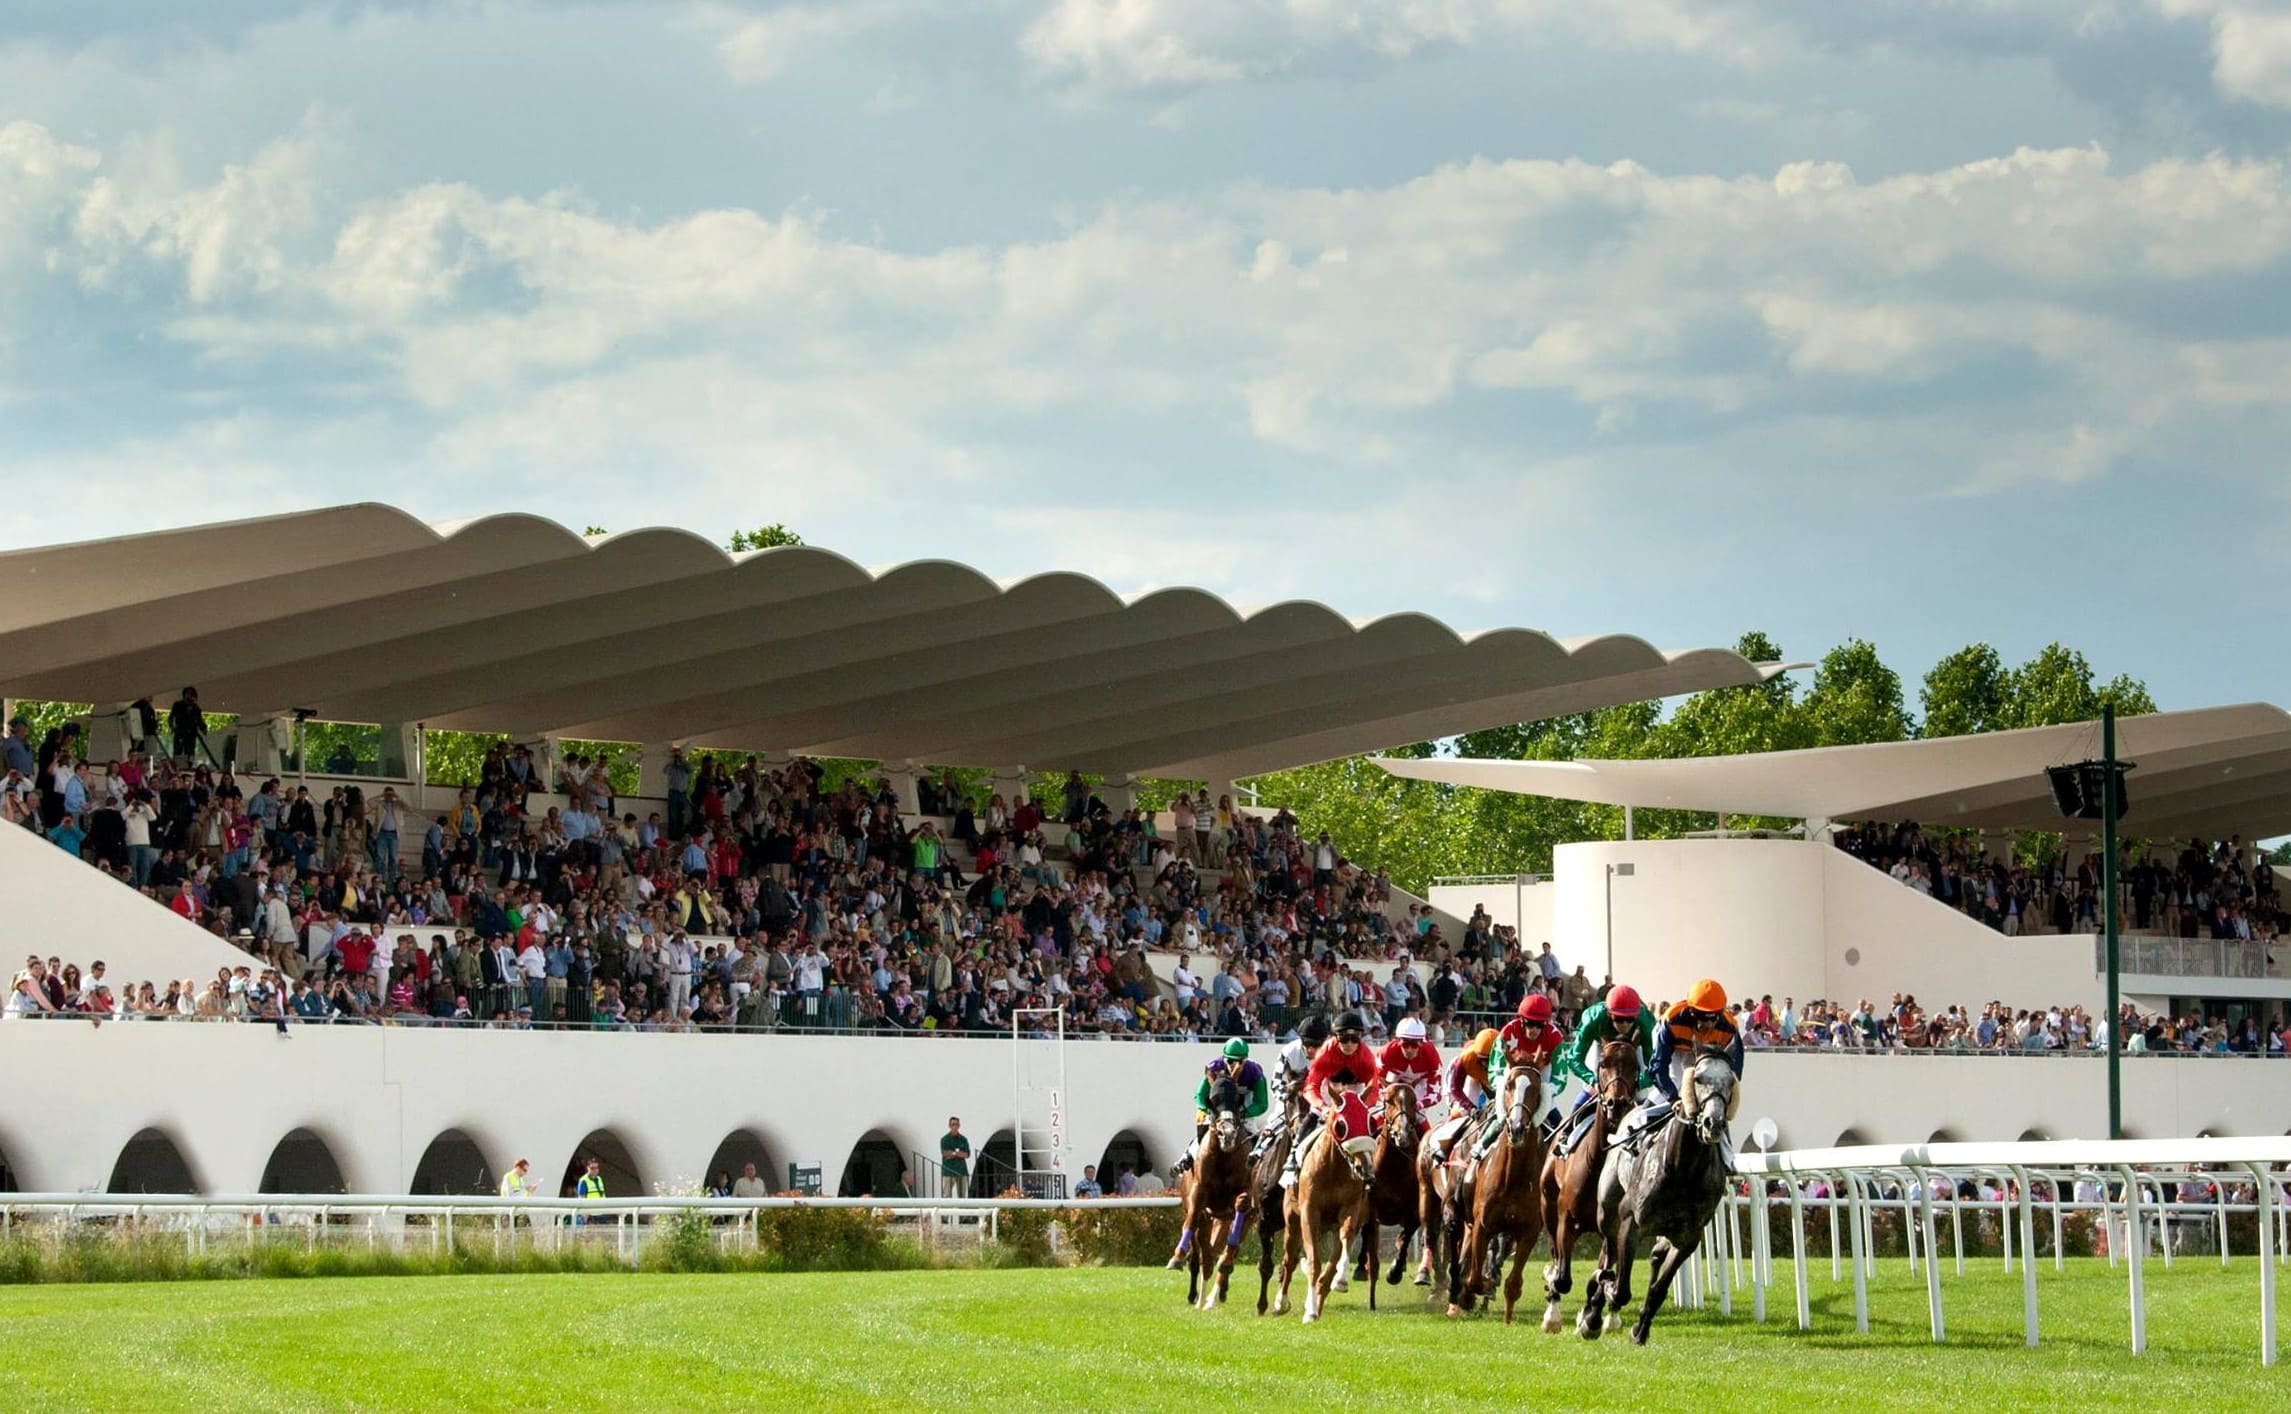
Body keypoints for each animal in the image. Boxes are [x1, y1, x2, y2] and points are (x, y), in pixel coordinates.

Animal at [1438, 1063, 1548, 1320]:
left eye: (1536, 1089)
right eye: (1507, 1086)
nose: (1516, 1128)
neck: (1512, 1176)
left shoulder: (1528, 1231)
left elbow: (1512, 1282)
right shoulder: (1482, 1224)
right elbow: (1475, 1277)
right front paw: (1468, 1292)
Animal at [1548, 1035, 1640, 1338]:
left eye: (1636, 1064)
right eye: (1603, 1063)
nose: (1616, 1103)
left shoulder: (1613, 1228)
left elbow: (1602, 1275)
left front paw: (1591, 1317)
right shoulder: (1565, 1220)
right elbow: (1563, 1278)